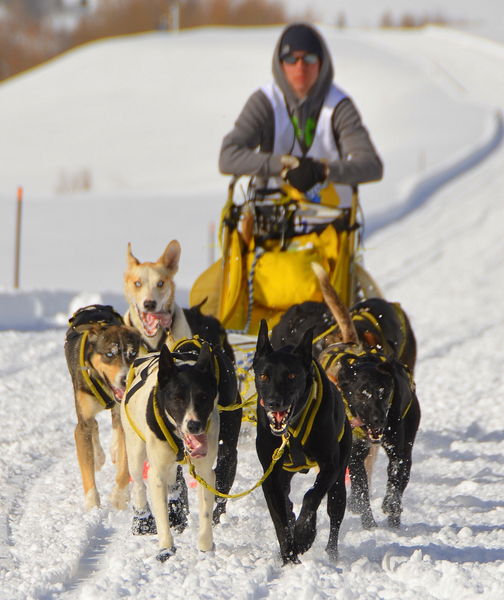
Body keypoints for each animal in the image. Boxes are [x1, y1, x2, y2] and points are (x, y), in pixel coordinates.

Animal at [121, 340, 241, 560]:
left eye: (204, 397)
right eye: (177, 398)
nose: (194, 425)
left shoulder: (205, 471)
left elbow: (206, 509)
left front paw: (205, 547)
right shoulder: (157, 473)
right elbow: (161, 515)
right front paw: (166, 548)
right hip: (135, 449)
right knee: (139, 484)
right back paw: (142, 519)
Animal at [252, 322, 350, 564]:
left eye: (291, 375)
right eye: (264, 376)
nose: (274, 402)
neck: (292, 431)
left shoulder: (330, 465)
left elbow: (311, 497)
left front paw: (304, 534)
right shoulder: (270, 476)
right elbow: (280, 521)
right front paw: (289, 558)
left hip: (340, 475)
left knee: (334, 509)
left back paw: (331, 555)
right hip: (285, 474)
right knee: (287, 501)